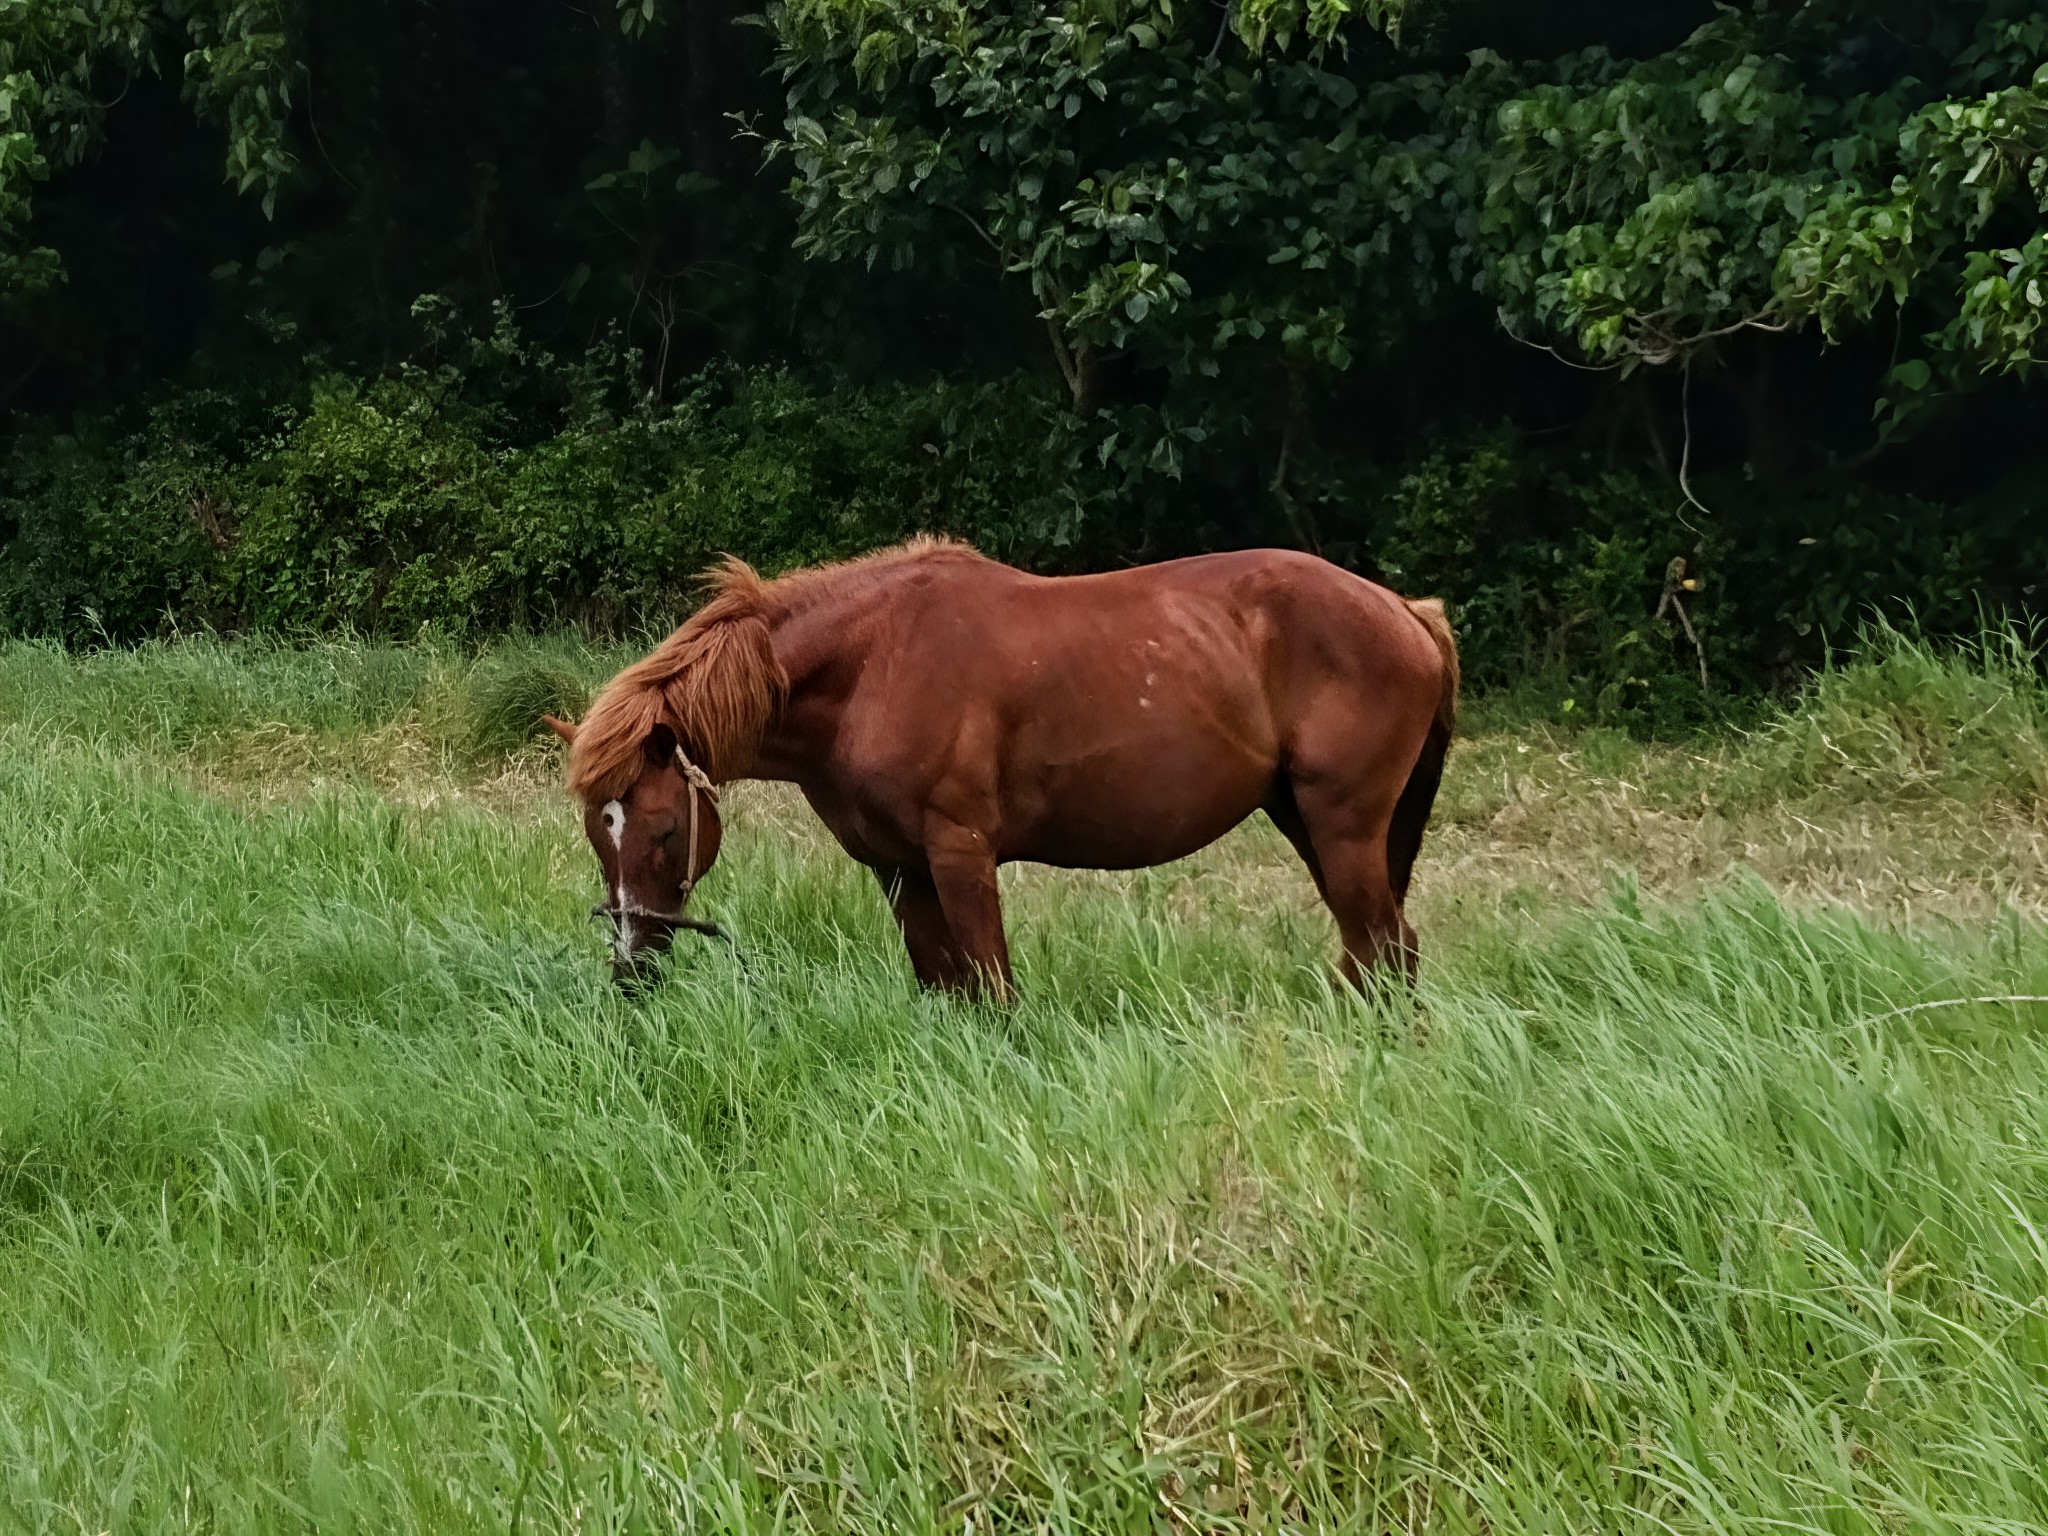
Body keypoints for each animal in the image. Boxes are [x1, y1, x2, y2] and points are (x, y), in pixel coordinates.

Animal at [548, 540, 1458, 999]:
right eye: (599, 834)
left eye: (666, 828)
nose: (629, 967)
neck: (873, 664)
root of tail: (1406, 613)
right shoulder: (898, 869)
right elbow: (944, 986)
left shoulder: (960, 855)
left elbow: (993, 987)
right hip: (1307, 822)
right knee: (1376, 950)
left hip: (1343, 828)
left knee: (1388, 950)